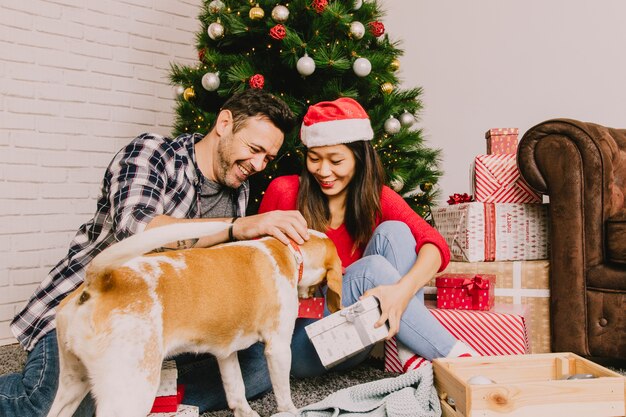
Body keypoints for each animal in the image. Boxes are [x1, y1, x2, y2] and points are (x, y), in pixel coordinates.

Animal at [46, 223, 342, 416]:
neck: (287, 250)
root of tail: (100, 281)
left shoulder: (226, 353)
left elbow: (236, 391)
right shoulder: (278, 348)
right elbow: (283, 395)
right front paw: (291, 411)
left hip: (72, 384)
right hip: (131, 390)